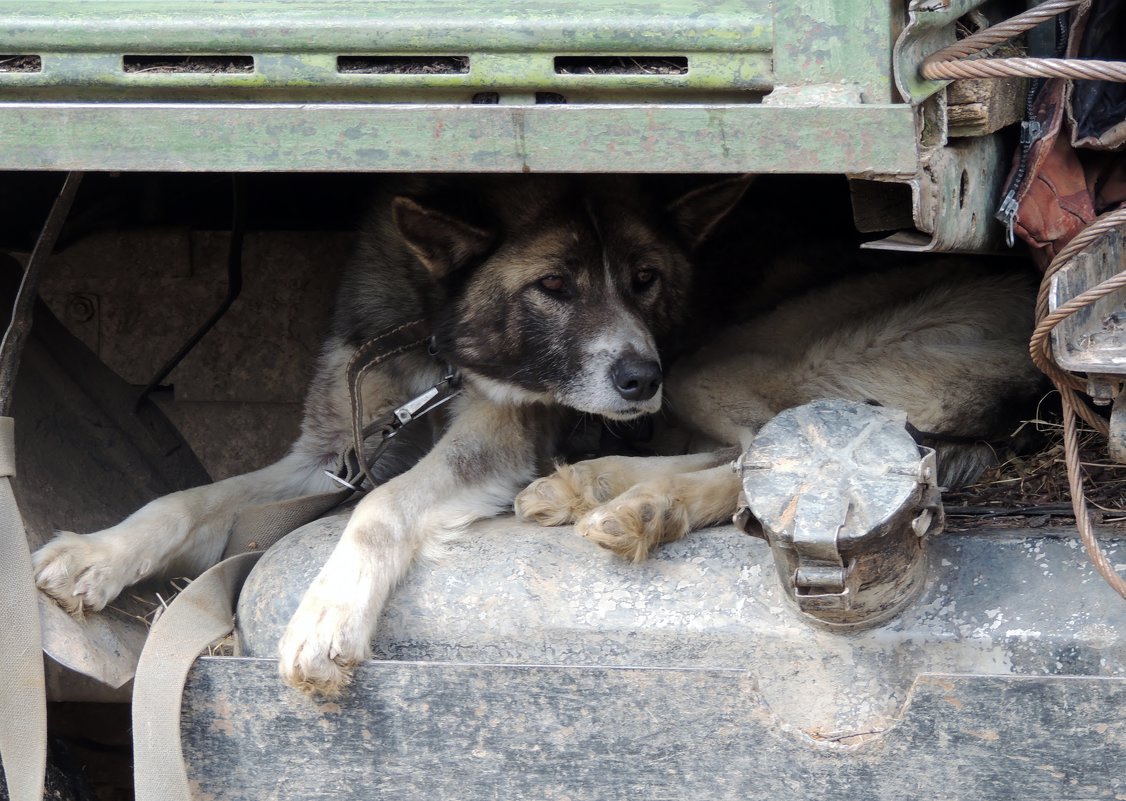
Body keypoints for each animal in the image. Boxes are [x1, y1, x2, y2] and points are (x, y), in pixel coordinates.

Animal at [32, 173, 756, 693]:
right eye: (553, 283)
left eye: (645, 278)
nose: (643, 378)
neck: (431, 334)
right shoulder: (329, 453)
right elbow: (189, 501)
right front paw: (99, 551)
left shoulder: (491, 439)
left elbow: (383, 506)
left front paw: (329, 611)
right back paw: (590, 489)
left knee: (751, 453)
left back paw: (634, 505)